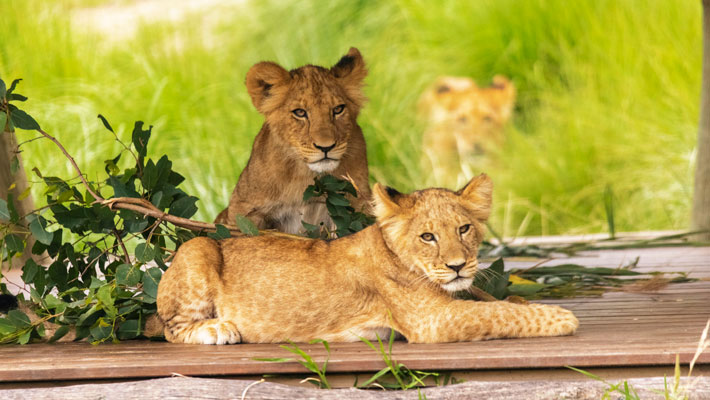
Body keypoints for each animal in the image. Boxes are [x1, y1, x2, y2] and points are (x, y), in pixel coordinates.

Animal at [157, 174, 578, 344]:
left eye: (464, 229)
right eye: (428, 237)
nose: (458, 266)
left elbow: (496, 302)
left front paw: (522, 298)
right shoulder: (433, 320)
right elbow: (494, 313)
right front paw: (560, 317)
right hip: (197, 249)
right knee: (170, 328)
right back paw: (218, 330)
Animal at [214, 48, 372, 234]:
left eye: (338, 109)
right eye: (300, 112)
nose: (326, 147)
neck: (307, 176)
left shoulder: (359, 203)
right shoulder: (244, 207)